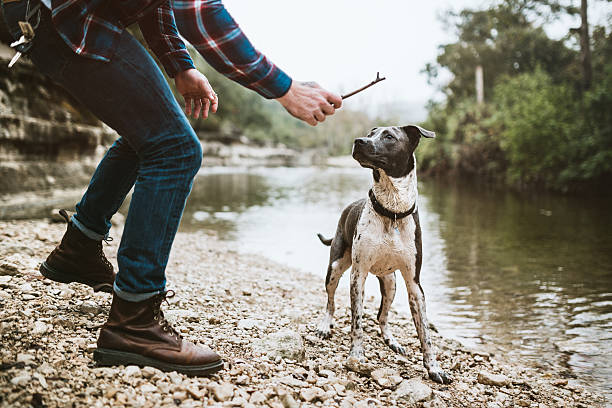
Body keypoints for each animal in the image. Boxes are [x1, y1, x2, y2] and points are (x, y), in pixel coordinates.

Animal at [316, 124, 450, 382]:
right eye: (370, 133)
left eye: (389, 137)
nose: (359, 141)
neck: (392, 211)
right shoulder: (358, 275)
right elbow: (357, 322)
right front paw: (356, 355)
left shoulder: (414, 284)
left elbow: (425, 334)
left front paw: (434, 368)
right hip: (335, 268)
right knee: (330, 302)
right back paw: (324, 326)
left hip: (390, 283)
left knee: (382, 316)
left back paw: (391, 340)